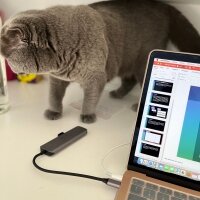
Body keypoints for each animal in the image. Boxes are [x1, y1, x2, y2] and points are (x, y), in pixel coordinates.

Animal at [0, 0, 200, 123]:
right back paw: (117, 94)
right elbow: (54, 96)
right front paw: (54, 112)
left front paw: (87, 116)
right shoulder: (57, 79)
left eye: (9, 61)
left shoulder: (95, 78)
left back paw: (136, 106)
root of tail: (164, 5)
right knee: (129, 80)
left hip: (143, 59)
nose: (15, 72)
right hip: (125, 59)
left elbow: (90, 98)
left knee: (142, 81)